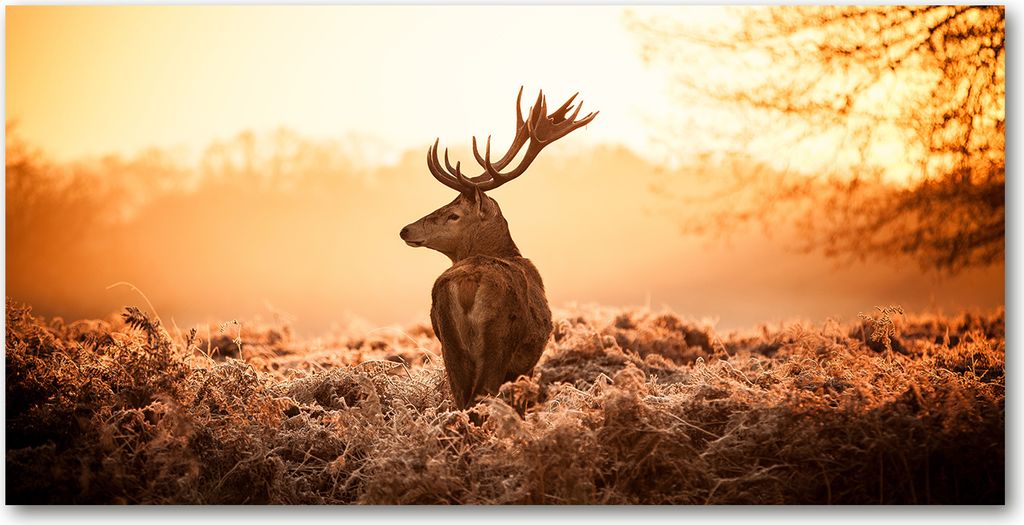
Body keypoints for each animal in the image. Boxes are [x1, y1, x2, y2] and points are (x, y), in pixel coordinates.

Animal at [399, 88, 598, 410]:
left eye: (453, 214)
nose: (405, 229)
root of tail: (468, 283)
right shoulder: (526, 364)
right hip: (498, 341)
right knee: (481, 397)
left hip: (449, 344)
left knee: (462, 399)